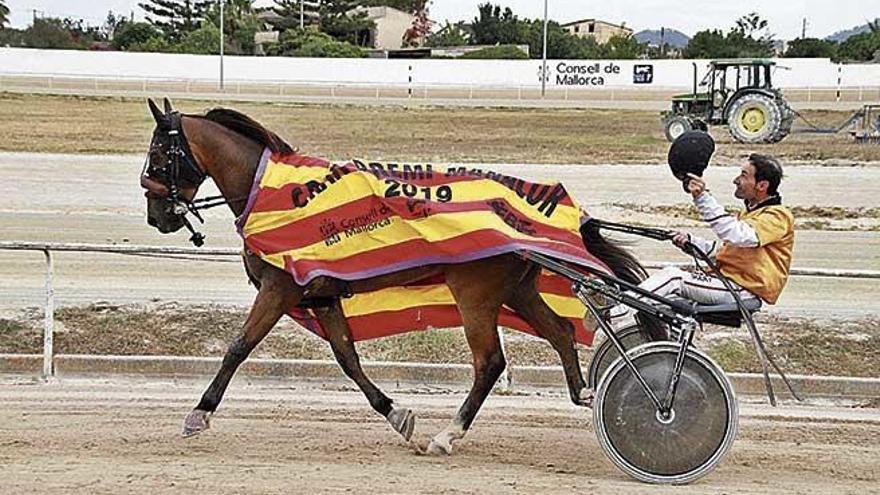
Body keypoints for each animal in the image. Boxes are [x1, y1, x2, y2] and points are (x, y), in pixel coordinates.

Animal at [141, 98, 648, 458]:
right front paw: (397, 415)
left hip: (476, 294)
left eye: (157, 153)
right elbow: (348, 360)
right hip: (518, 288)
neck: (273, 191)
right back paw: (584, 392)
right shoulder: (322, 296)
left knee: (489, 363)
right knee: (560, 330)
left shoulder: (280, 289)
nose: (155, 217)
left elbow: (239, 347)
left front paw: (199, 413)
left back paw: (449, 434)